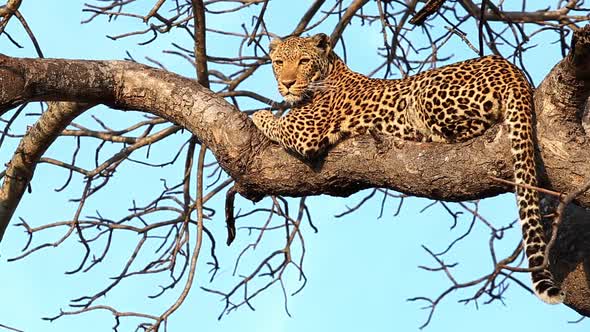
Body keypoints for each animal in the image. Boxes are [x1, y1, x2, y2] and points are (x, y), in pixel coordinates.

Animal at [252, 33, 568, 304]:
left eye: (303, 61)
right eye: (278, 63)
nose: (287, 84)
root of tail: (509, 68)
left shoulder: (303, 132)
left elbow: (270, 119)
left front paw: (258, 114)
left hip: (423, 91)